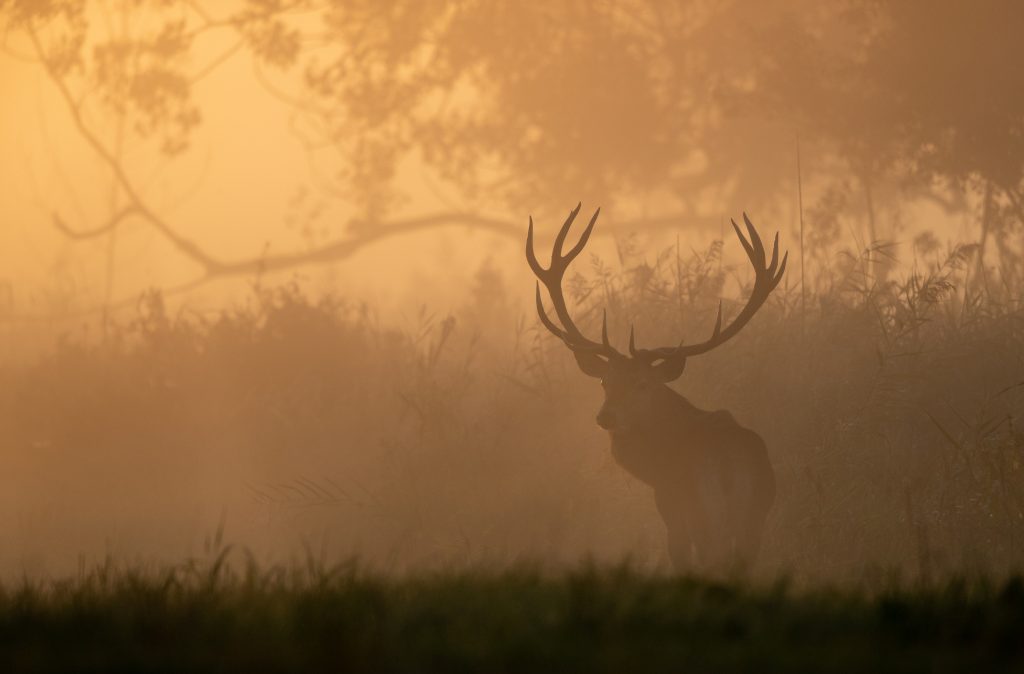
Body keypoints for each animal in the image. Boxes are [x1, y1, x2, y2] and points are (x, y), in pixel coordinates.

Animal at [526, 203, 786, 571]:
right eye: (605, 380)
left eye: (643, 384)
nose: (606, 416)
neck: (653, 465)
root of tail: (727, 467)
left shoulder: (670, 506)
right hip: (754, 519)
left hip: (702, 513)